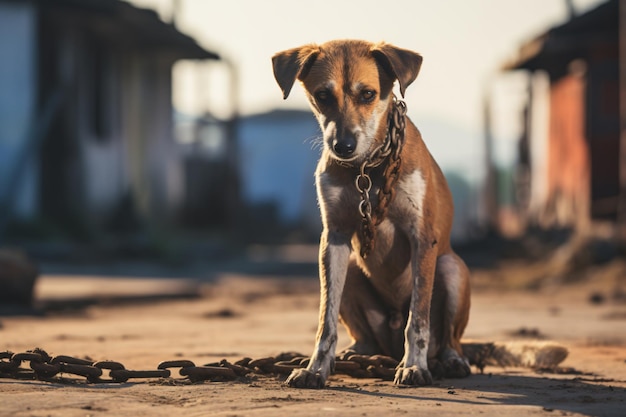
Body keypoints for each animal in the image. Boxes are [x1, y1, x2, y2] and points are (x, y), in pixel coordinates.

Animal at [270, 39, 470, 386]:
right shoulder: (334, 238)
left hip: (451, 269)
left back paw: (451, 361)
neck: (367, 168)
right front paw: (315, 369)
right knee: (364, 336)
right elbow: (326, 321)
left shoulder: (422, 237)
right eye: (323, 95)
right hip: (351, 268)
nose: (343, 146)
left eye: (367, 94)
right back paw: (356, 353)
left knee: (449, 339)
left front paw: (414, 366)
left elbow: (419, 319)